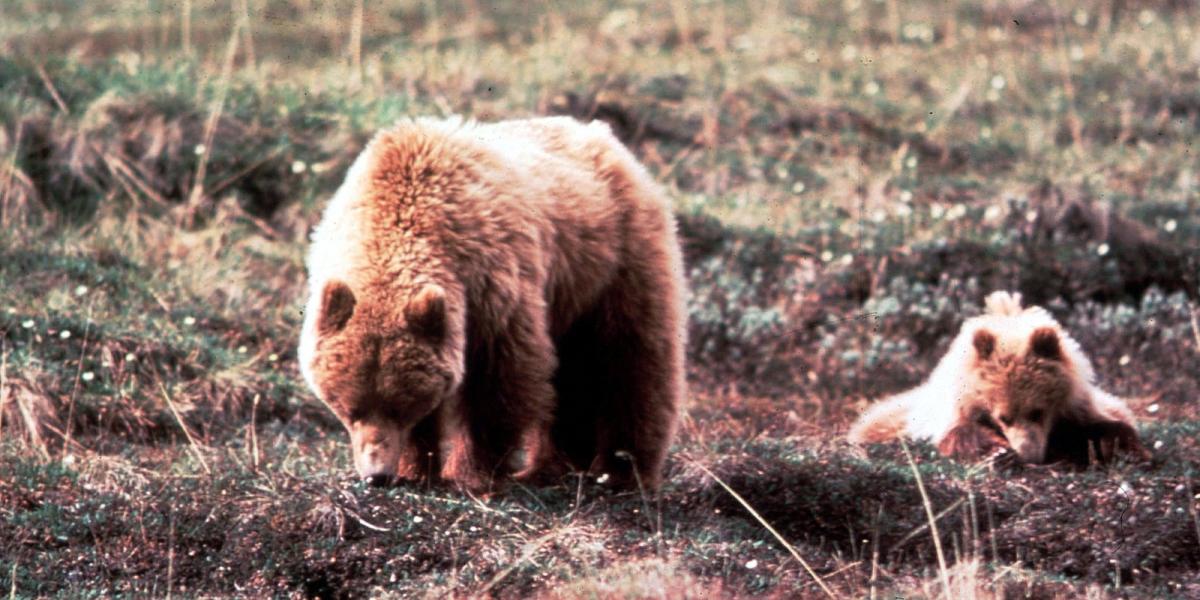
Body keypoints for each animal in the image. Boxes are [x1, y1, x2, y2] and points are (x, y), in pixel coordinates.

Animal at [297, 118, 686, 492]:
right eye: (350, 408)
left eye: (399, 407)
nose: (376, 474)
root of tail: (605, 138)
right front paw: (416, 468)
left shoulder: (490, 285)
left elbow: (498, 381)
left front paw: (472, 472)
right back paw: (556, 465)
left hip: (615, 261)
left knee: (631, 361)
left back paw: (620, 471)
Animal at [849, 289, 1147, 463]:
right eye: (1004, 417)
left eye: (1037, 411)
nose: (1030, 454)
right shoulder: (948, 415)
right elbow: (959, 434)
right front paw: (999, 451)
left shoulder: (1078, 407)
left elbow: (1107, 424)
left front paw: (1118, 446)